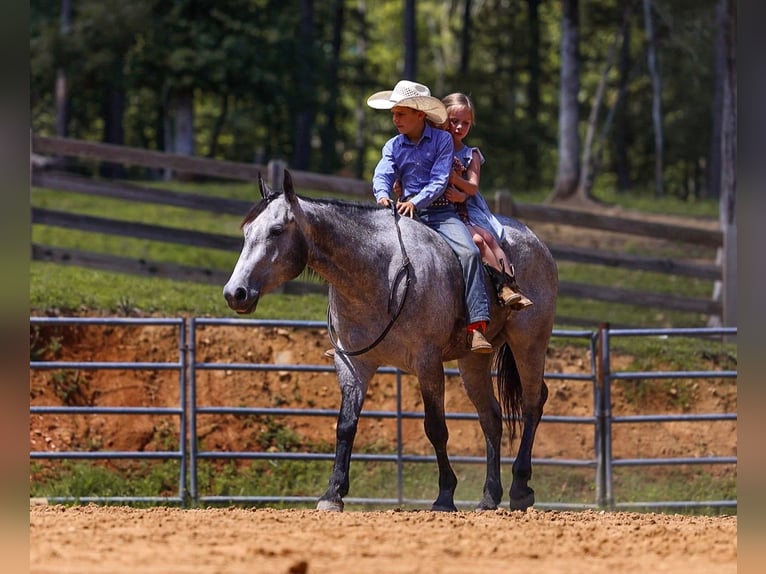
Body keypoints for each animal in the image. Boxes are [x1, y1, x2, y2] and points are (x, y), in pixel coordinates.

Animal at [223, 170, 558, 512]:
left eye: (276, 230)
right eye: (247, 231)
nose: (235, 293)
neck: (379, 272)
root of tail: (533, 240)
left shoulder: (427, 363)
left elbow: (436, 428)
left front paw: (445, 495)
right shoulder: (353, 364)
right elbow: (346, 426)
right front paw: (332, 494)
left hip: (529, 342)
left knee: (533, 403)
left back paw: (520, 488)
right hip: (474, 359)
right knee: (491, 417)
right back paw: (489, 496)